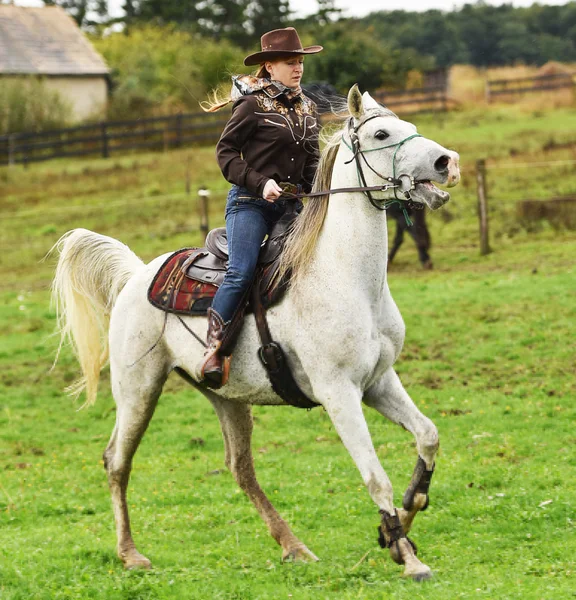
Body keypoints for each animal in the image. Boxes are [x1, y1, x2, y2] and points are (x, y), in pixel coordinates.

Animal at [53, 84, 460, 580]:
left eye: (409, 126)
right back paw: (130, 553)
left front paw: (399, 523)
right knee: (117, 461)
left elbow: (428, 436)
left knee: (240, 468)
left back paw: (294, 546)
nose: (446, 161)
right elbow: (374, 477)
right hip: (137, 390)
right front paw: (407, 555)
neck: (344, 275)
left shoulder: (379, 382)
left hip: (225, 396)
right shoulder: (338, 392)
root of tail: (136, 277)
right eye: (381, 133)